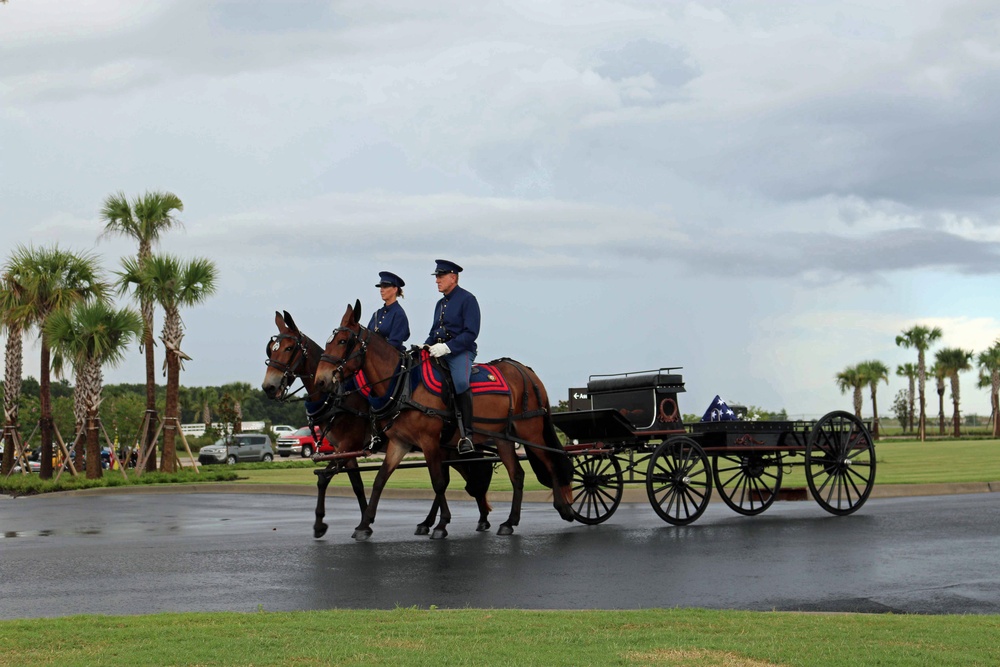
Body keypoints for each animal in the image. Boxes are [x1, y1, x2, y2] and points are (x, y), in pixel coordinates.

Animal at [262, 312, 496, 536]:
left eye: (289, 348)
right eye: (270, 351)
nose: (268, 387)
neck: (338, 398)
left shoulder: (349, 444)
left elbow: (325, 478)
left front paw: (324, 523)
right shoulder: (343, 450)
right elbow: (355, 485)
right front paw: (362, 519)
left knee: (462, 478)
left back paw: (471, 518)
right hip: (446, 448)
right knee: (461, 478)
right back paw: (451, 520)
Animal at [316, 300, 576, 540]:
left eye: (342, 342)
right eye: (328, 342)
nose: (321, 380)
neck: (404, 385)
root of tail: (526, 371)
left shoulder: (429, 441)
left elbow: (439, 482)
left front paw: (441, 525)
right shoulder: (399, 443)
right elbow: (380, 480)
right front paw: (364, 524)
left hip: (529, 432)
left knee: (550, 462)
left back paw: (563, 508)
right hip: (502, 438)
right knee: (517, 475)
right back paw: (510, 522)